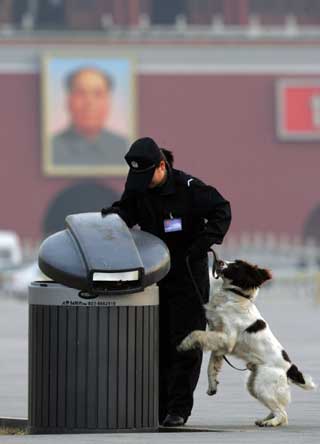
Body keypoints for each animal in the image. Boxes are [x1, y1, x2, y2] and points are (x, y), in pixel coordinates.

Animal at [179, 260, 316, 426]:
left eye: (236, 266)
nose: (218, 261)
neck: (234, 296)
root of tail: (290, 368)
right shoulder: (220, 344)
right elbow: (211, 366)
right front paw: (212, 386)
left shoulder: (227, 339)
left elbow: (196, 333)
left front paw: (184, 344)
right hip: (253, 384)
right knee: (278, 407)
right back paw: (265, 419)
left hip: (262, 385)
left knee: (283, 414)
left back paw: (270, 423)